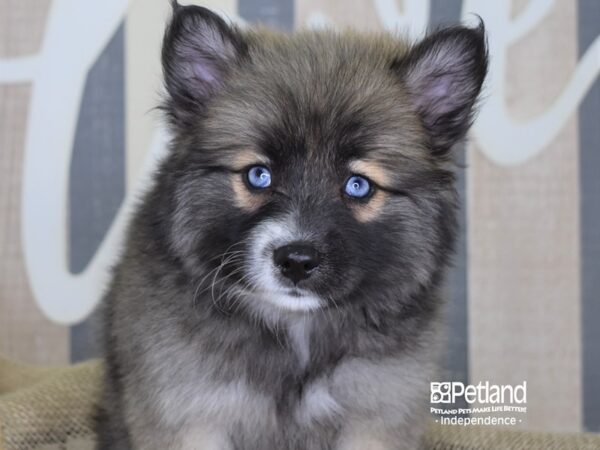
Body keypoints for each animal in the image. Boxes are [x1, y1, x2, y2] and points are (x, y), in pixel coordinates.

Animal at [95, 1, 488, 448]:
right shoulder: (189, 415)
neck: (296, 329)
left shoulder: (376, 415)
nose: (297, 262)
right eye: (258, 175)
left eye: (358, 185)